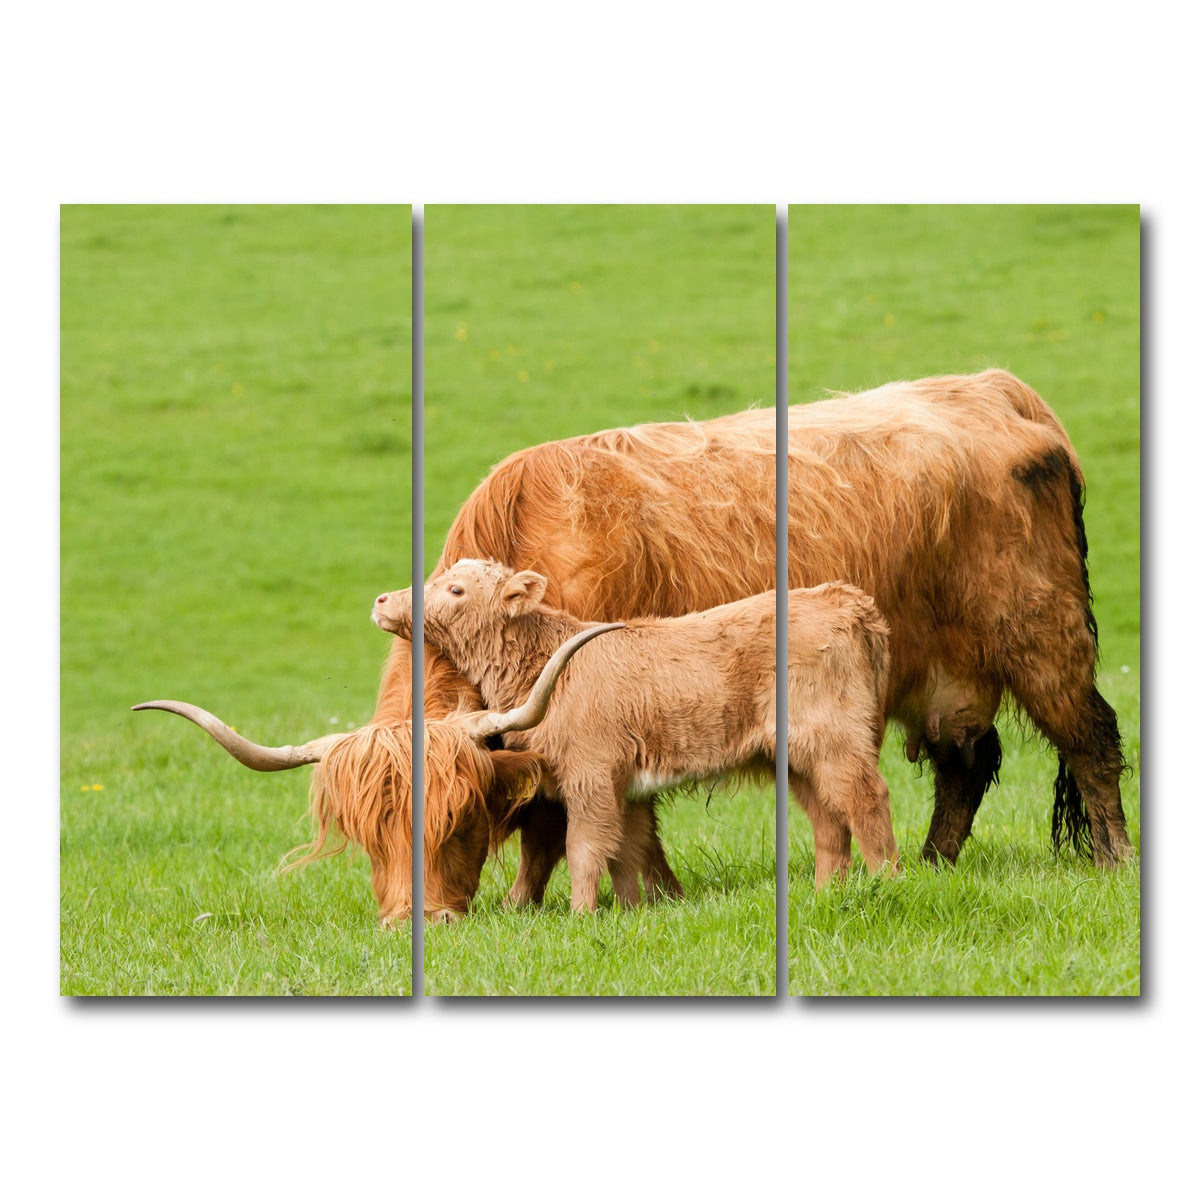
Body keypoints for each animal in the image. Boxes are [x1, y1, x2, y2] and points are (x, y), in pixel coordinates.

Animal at [374, 560, 897, 908]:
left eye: (456, 589)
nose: (382, 600)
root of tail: (847, 599)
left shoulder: (590, 777)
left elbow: (585, 849)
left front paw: (581, 916)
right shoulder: (626, 788)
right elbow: (628, 850)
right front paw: (633, 912)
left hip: (835, 741)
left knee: (866, 801)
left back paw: (886, 882)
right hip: (797, 757)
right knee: (829, 820)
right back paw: (826, 895)